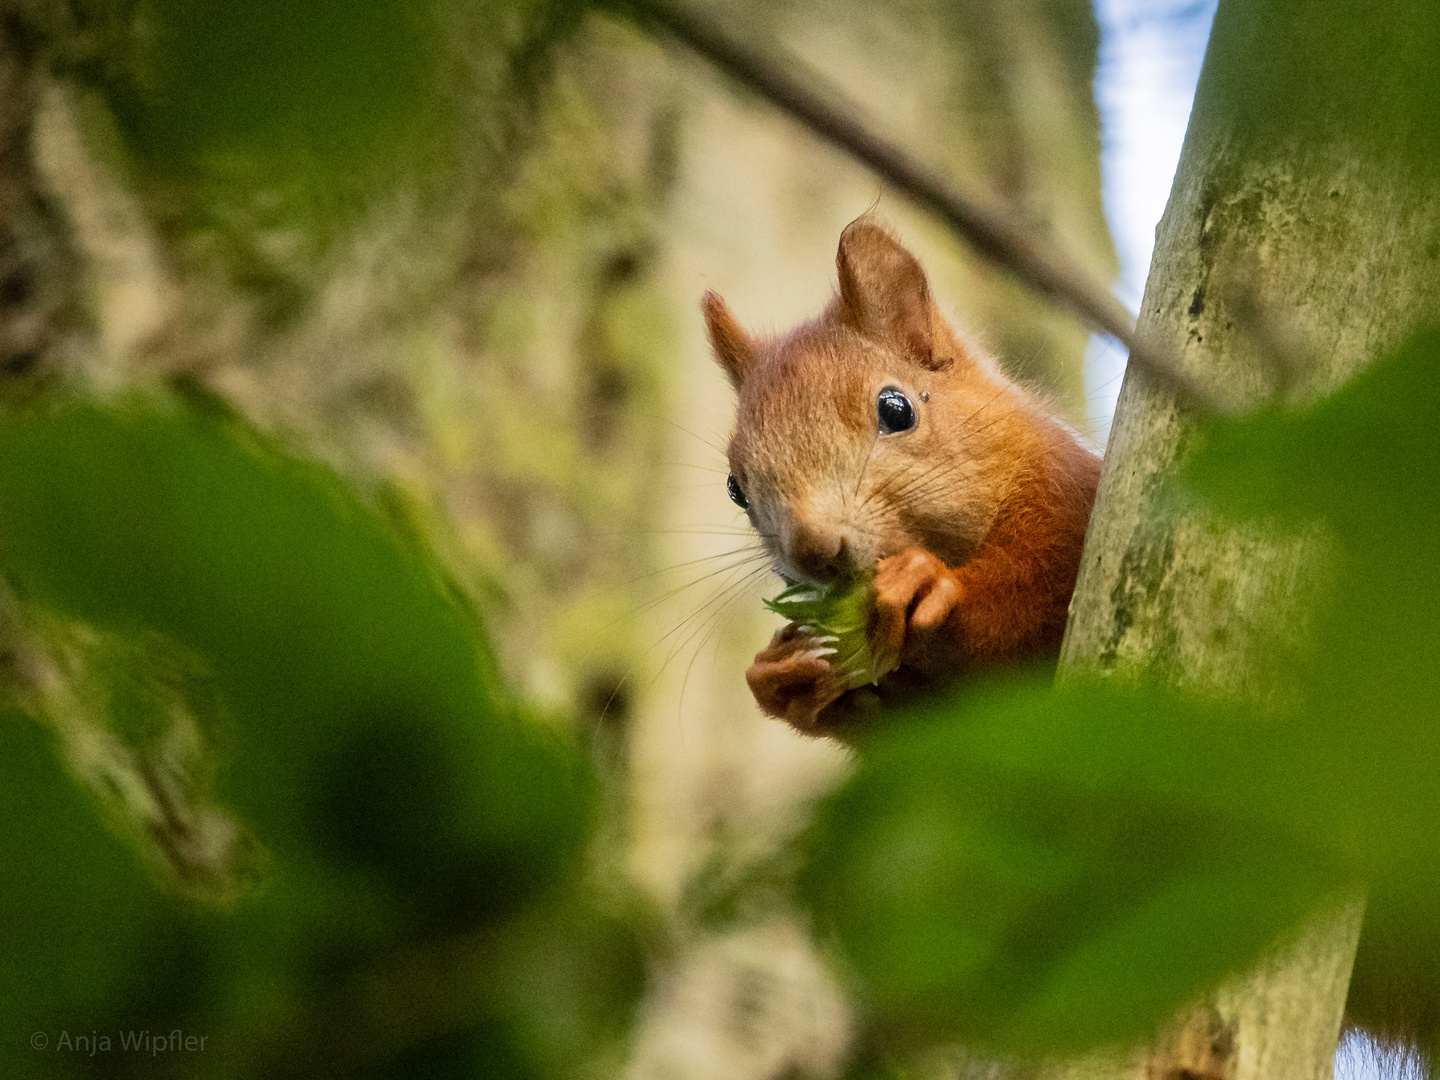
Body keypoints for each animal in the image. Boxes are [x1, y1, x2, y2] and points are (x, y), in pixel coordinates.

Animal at [702, 217, 1094, 743]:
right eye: (735, 488)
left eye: (897, 409)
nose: (813, 550)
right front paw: (781, 675)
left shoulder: (1068, 498)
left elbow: (1046, 588)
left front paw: (929, 585)